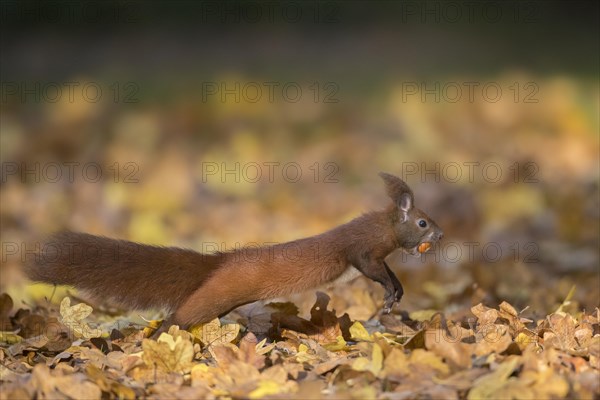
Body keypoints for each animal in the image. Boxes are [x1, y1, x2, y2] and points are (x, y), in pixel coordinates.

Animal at [25, 173, 442, 334]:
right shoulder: (362, 249)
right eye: (424, 222)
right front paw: (390, 294)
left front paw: (397, 294)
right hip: (214, 296)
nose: (440, 234)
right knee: (178, 315)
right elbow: (371, 267)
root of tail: (218, 262)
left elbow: (389, 272)